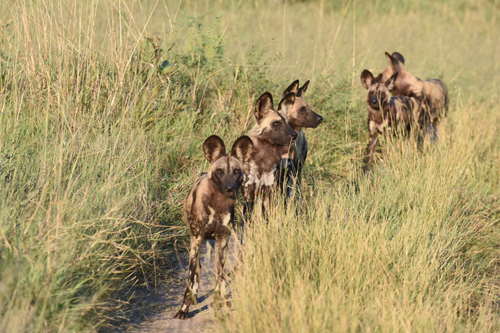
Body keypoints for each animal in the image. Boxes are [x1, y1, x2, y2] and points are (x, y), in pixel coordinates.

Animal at [175, 135, 254, 320]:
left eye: (236, 171)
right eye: (219, 171)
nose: (229, 188)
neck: (217, 204)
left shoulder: (222, 240)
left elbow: (219, 276)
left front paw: (219, 304)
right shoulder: (196, 240)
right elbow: (191, 276)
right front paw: (184, 309)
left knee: (221, 274)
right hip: (195, 246)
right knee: (197, 271)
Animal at [241, 91, 296, 223]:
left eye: (288, 123)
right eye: (276, 123)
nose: (295, 135)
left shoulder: (268, 194)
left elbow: (267, 219)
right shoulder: (249, 196)